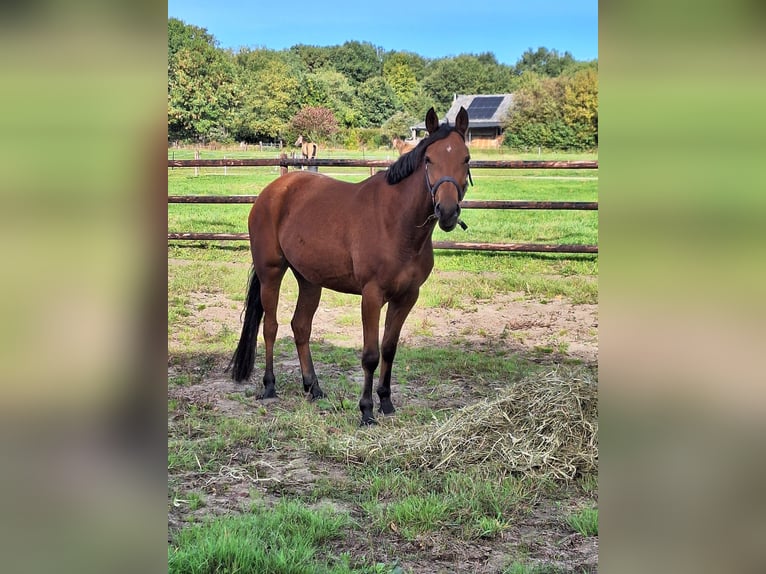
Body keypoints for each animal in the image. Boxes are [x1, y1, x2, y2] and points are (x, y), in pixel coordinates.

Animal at [229, 107, 472, 426]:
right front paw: (366, 410)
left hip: (309, 280)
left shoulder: (406, 297)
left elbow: (389, 350)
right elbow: (370, 354)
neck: (396, 223)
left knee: (300, 326)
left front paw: (386, 402)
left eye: (466, 158)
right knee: (270, 327)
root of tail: (272, 192)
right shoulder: (371, 296)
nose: (447, 212)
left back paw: (313, 387)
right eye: (429, 159)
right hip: (271, 274)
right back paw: (269, 386)